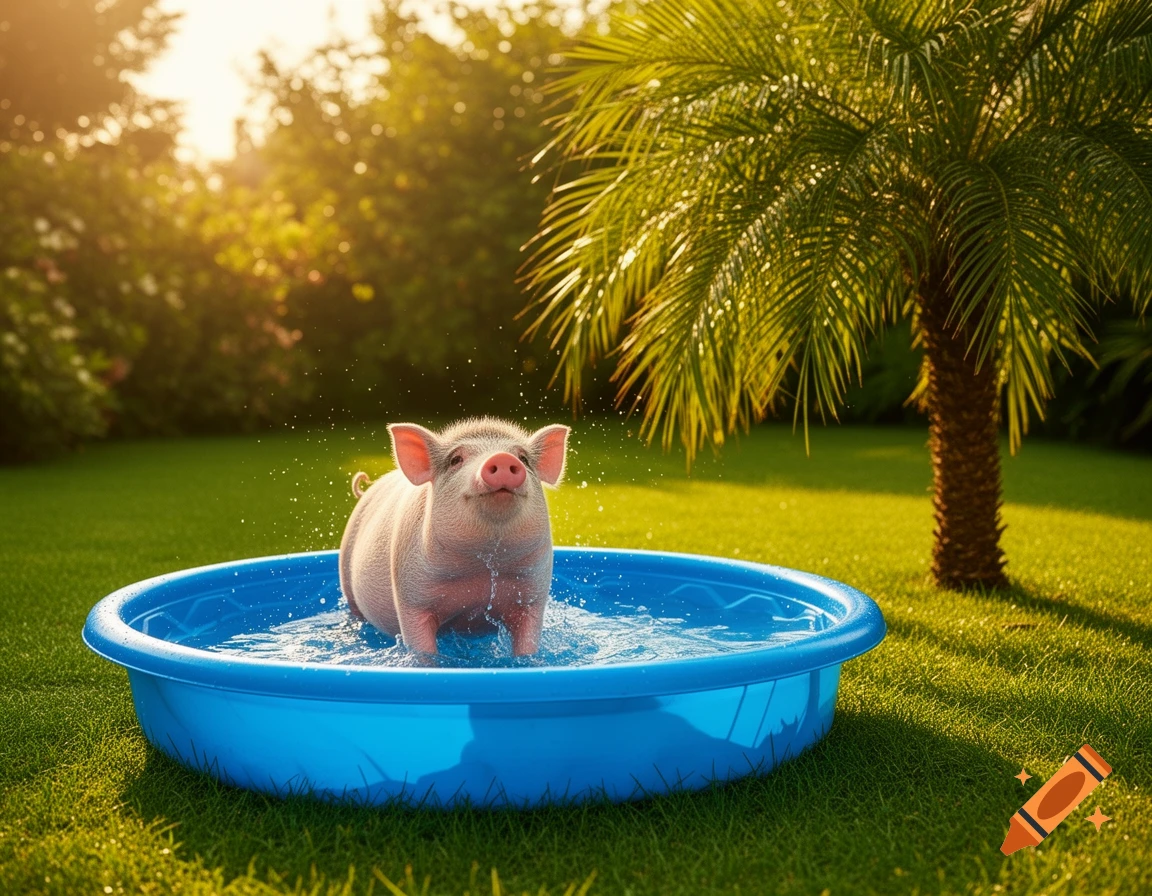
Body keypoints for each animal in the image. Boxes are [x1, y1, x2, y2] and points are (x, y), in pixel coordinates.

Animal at [339, 417, 569, 656]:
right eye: (455, 459)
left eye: (523, 458)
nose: (502, 458)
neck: (482, 567)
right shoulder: (410, 597)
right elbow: (421, 647)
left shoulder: (533, 595)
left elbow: (527, 643)